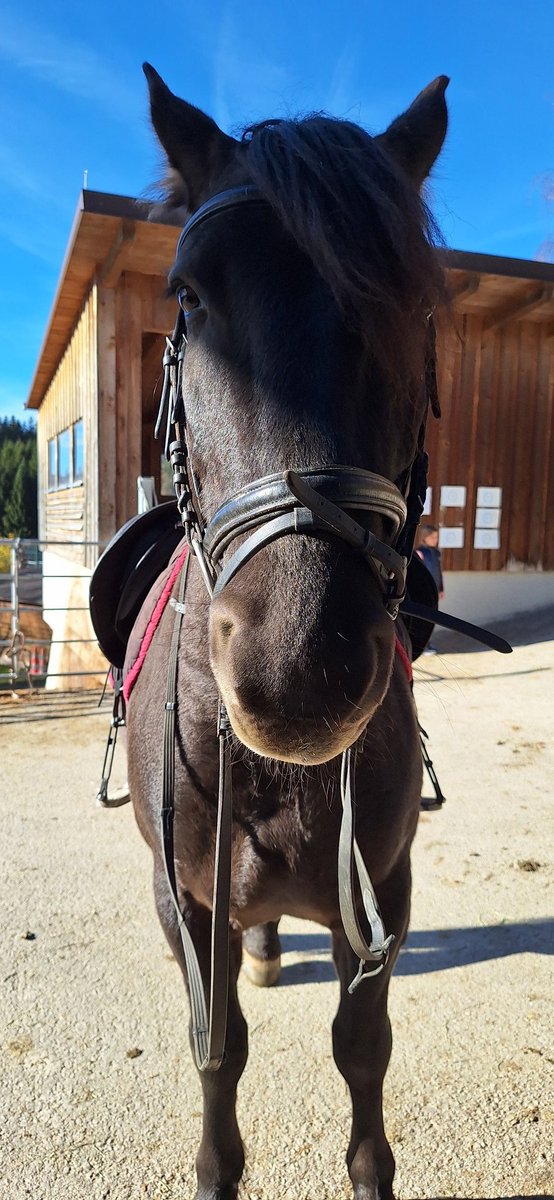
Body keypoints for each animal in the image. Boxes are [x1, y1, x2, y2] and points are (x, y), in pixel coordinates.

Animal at [127, 64, 449, 1200]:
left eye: (414, 305)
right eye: (189, 294)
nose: (300, 669)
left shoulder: (383, 888)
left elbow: (364, 1049)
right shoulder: (183, 899)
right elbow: (215, 1044)